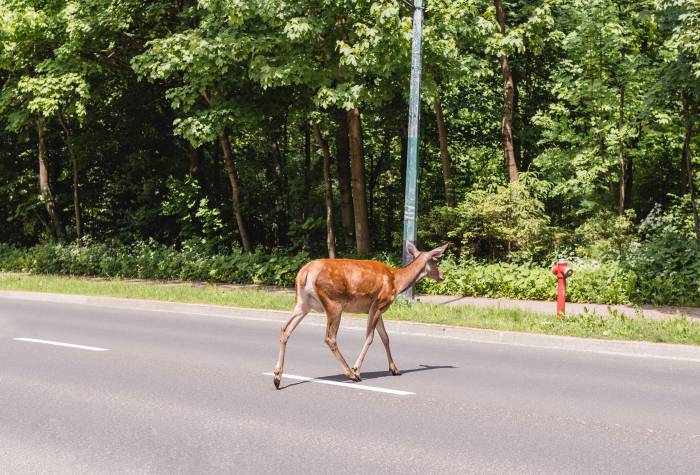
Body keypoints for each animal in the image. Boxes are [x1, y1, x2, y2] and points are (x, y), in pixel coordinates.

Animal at [274, 242, 448, 390]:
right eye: (435, 261)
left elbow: (385, 337)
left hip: (302, 303)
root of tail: (305, 272)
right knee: (330, 337)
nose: (442, 276)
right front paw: (357, 368)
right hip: (334, 303)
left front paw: (395, 369)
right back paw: (351, 374)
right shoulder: (378, 303)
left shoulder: (378, 309)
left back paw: (277, 377)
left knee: (285, 328)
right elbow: (370, 337)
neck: (397, 282)